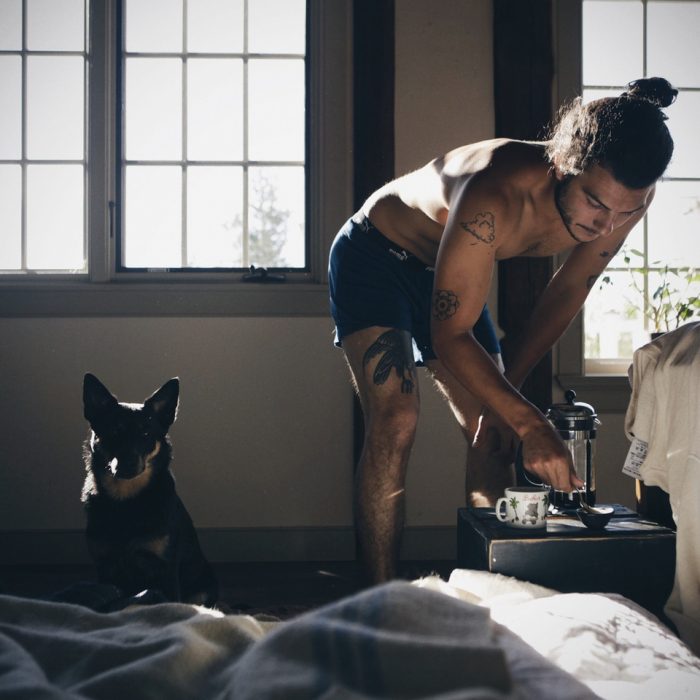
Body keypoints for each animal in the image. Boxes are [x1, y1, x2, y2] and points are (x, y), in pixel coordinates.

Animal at [80, 372, 216, 608]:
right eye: (114, 431)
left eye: (145, 433)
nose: (128, 462)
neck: (127, 500)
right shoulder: (105, 567)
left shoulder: (166, 568)